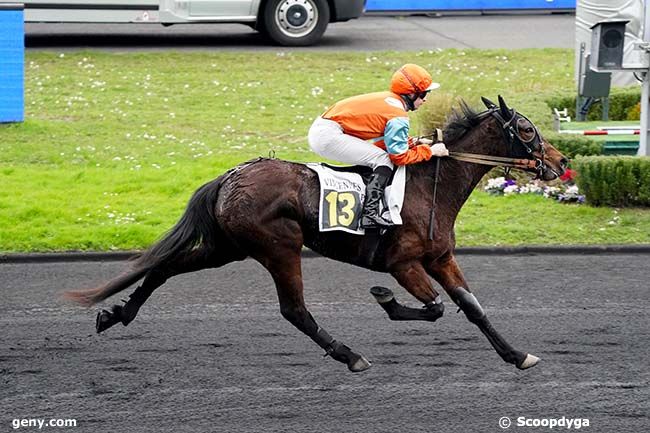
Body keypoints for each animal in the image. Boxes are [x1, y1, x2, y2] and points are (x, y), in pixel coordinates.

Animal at [63, 97, 564, 372]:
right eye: (526, 129)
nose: (558, 162)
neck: (429, 187)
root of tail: (230, 176)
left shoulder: (440, 258)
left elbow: (472, 308)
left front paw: (517, 355)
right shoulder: (402, 263)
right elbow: (435, 308)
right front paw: (384, 299)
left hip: (229, 247)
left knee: (165, 267)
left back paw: (116, 315)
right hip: (279, 247)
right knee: (294, 310)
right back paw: (350, 355)